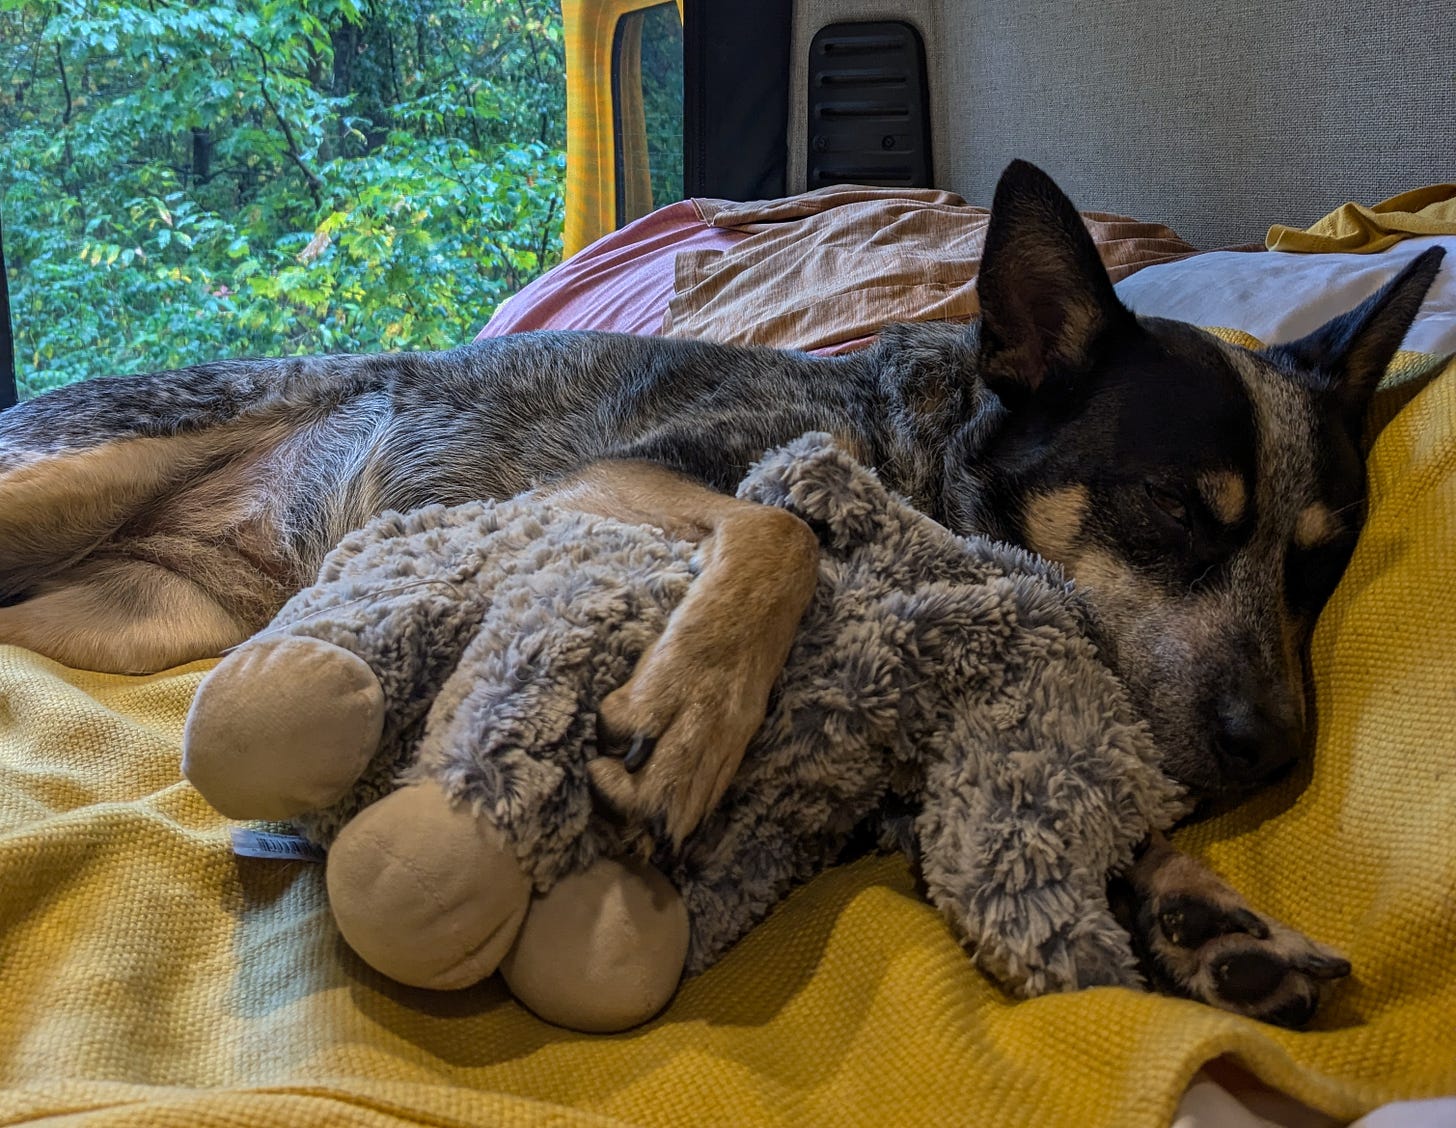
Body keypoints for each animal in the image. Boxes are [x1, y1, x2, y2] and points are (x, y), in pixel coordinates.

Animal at [0, 160, 1444, 1024]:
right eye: (1172, 511)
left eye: (1319, 561)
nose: (1277, 752)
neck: (912, 449)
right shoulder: (626, 475)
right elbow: (783, 532)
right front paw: (688, 724)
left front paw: (1205, 914)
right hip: (62, 484)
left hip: (128, 619)